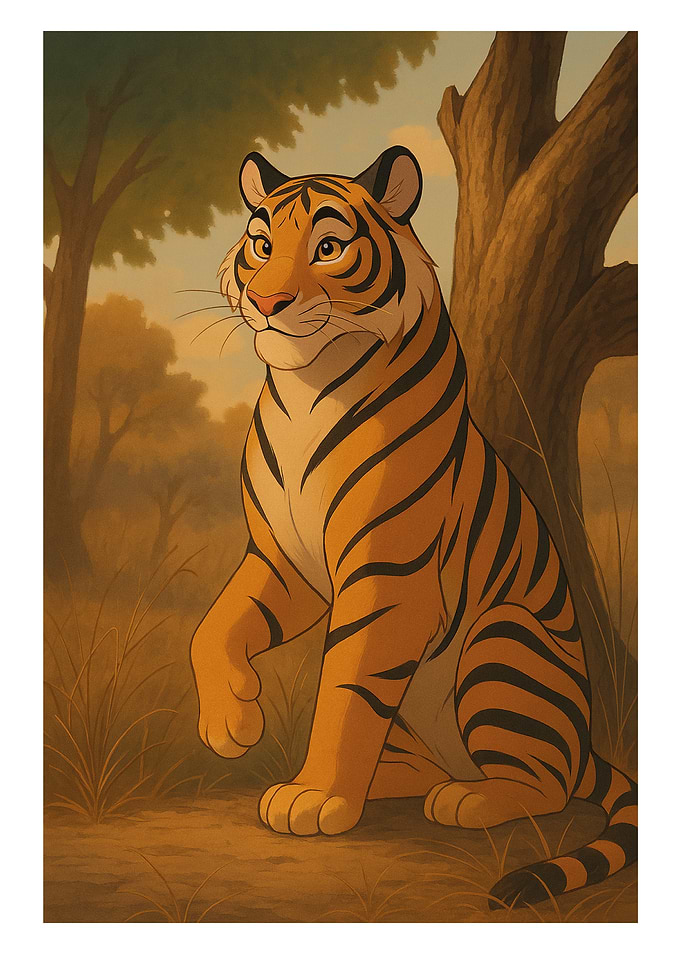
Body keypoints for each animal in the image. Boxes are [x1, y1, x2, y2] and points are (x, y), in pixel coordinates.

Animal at [190, 146, 637, 909]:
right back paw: (384, 784)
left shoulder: (384, 575)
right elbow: (213, 628)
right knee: (425, 761)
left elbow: (343, 692)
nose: (268, 303)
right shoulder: (286, 562)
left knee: (544, 785)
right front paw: (230, 725)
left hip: (502, 639)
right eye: (262, 246)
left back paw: (469, 799)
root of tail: (586, 748)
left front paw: (314, 798)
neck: (305, 386)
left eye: (328, 248)